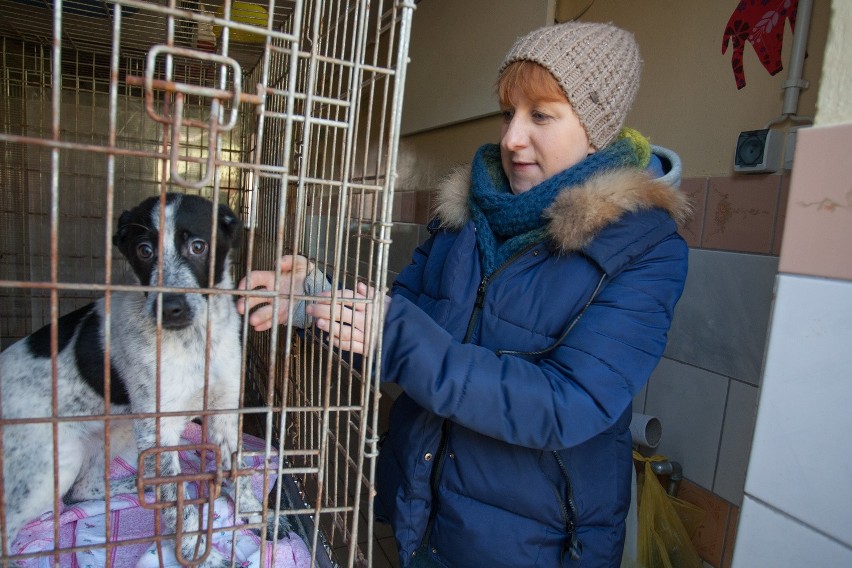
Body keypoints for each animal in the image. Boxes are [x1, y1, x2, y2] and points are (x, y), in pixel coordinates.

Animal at [0, 193, 262, 564]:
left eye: (198, 246)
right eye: (144, 250)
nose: (170, 308)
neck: (193, 341)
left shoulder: (224, 410)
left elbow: (238, 471)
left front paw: (254, 513)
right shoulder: (159, 430)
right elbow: (178, 500)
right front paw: (198, 553)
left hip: (117, 433)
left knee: (80, 491)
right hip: (51, 464)